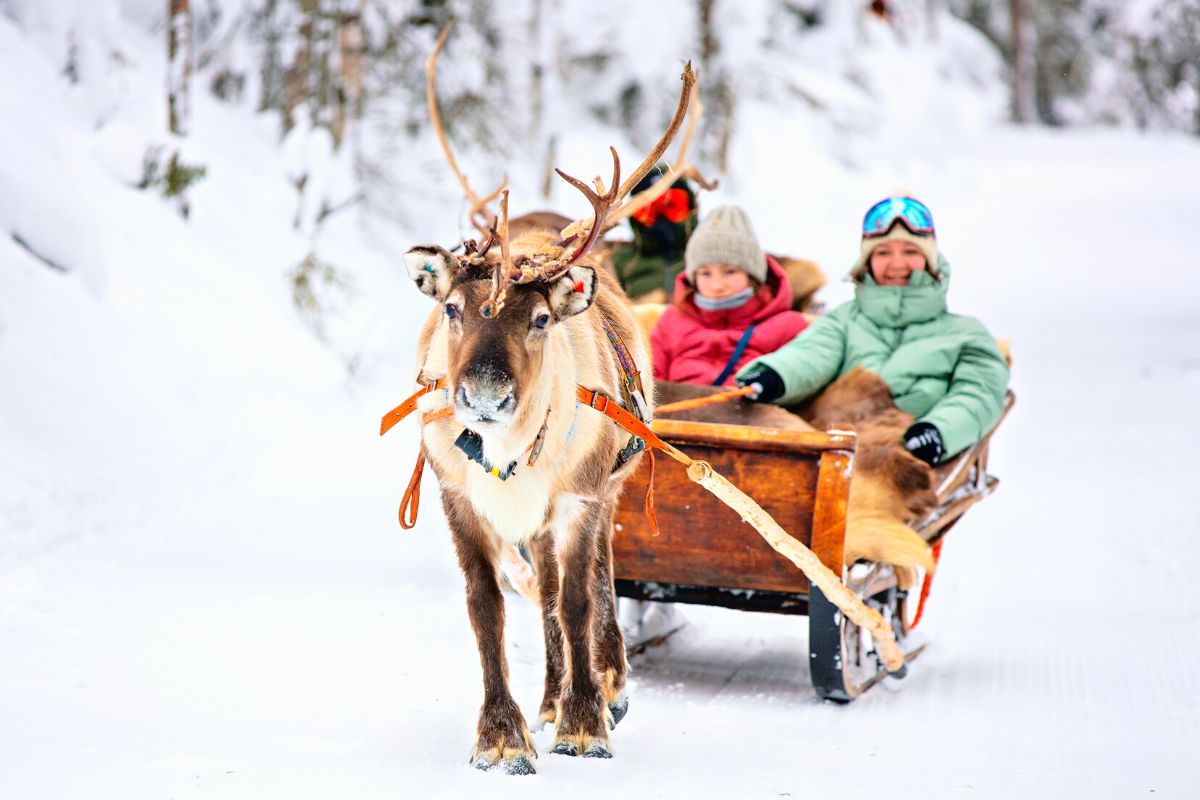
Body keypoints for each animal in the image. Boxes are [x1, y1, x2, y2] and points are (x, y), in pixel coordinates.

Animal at [396, 27, 704, 775]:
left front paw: (585, 722)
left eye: (538, 320)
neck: (509, 455)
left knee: (595, 582)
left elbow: (576, 600)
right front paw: (504, 735)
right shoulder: (460, 500)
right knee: (539, 594)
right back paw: (547, 696)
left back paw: (608, 683)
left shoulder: (579, 498)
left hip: (611, 485)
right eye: (451, 308)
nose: (483, 393)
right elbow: (489, 609)